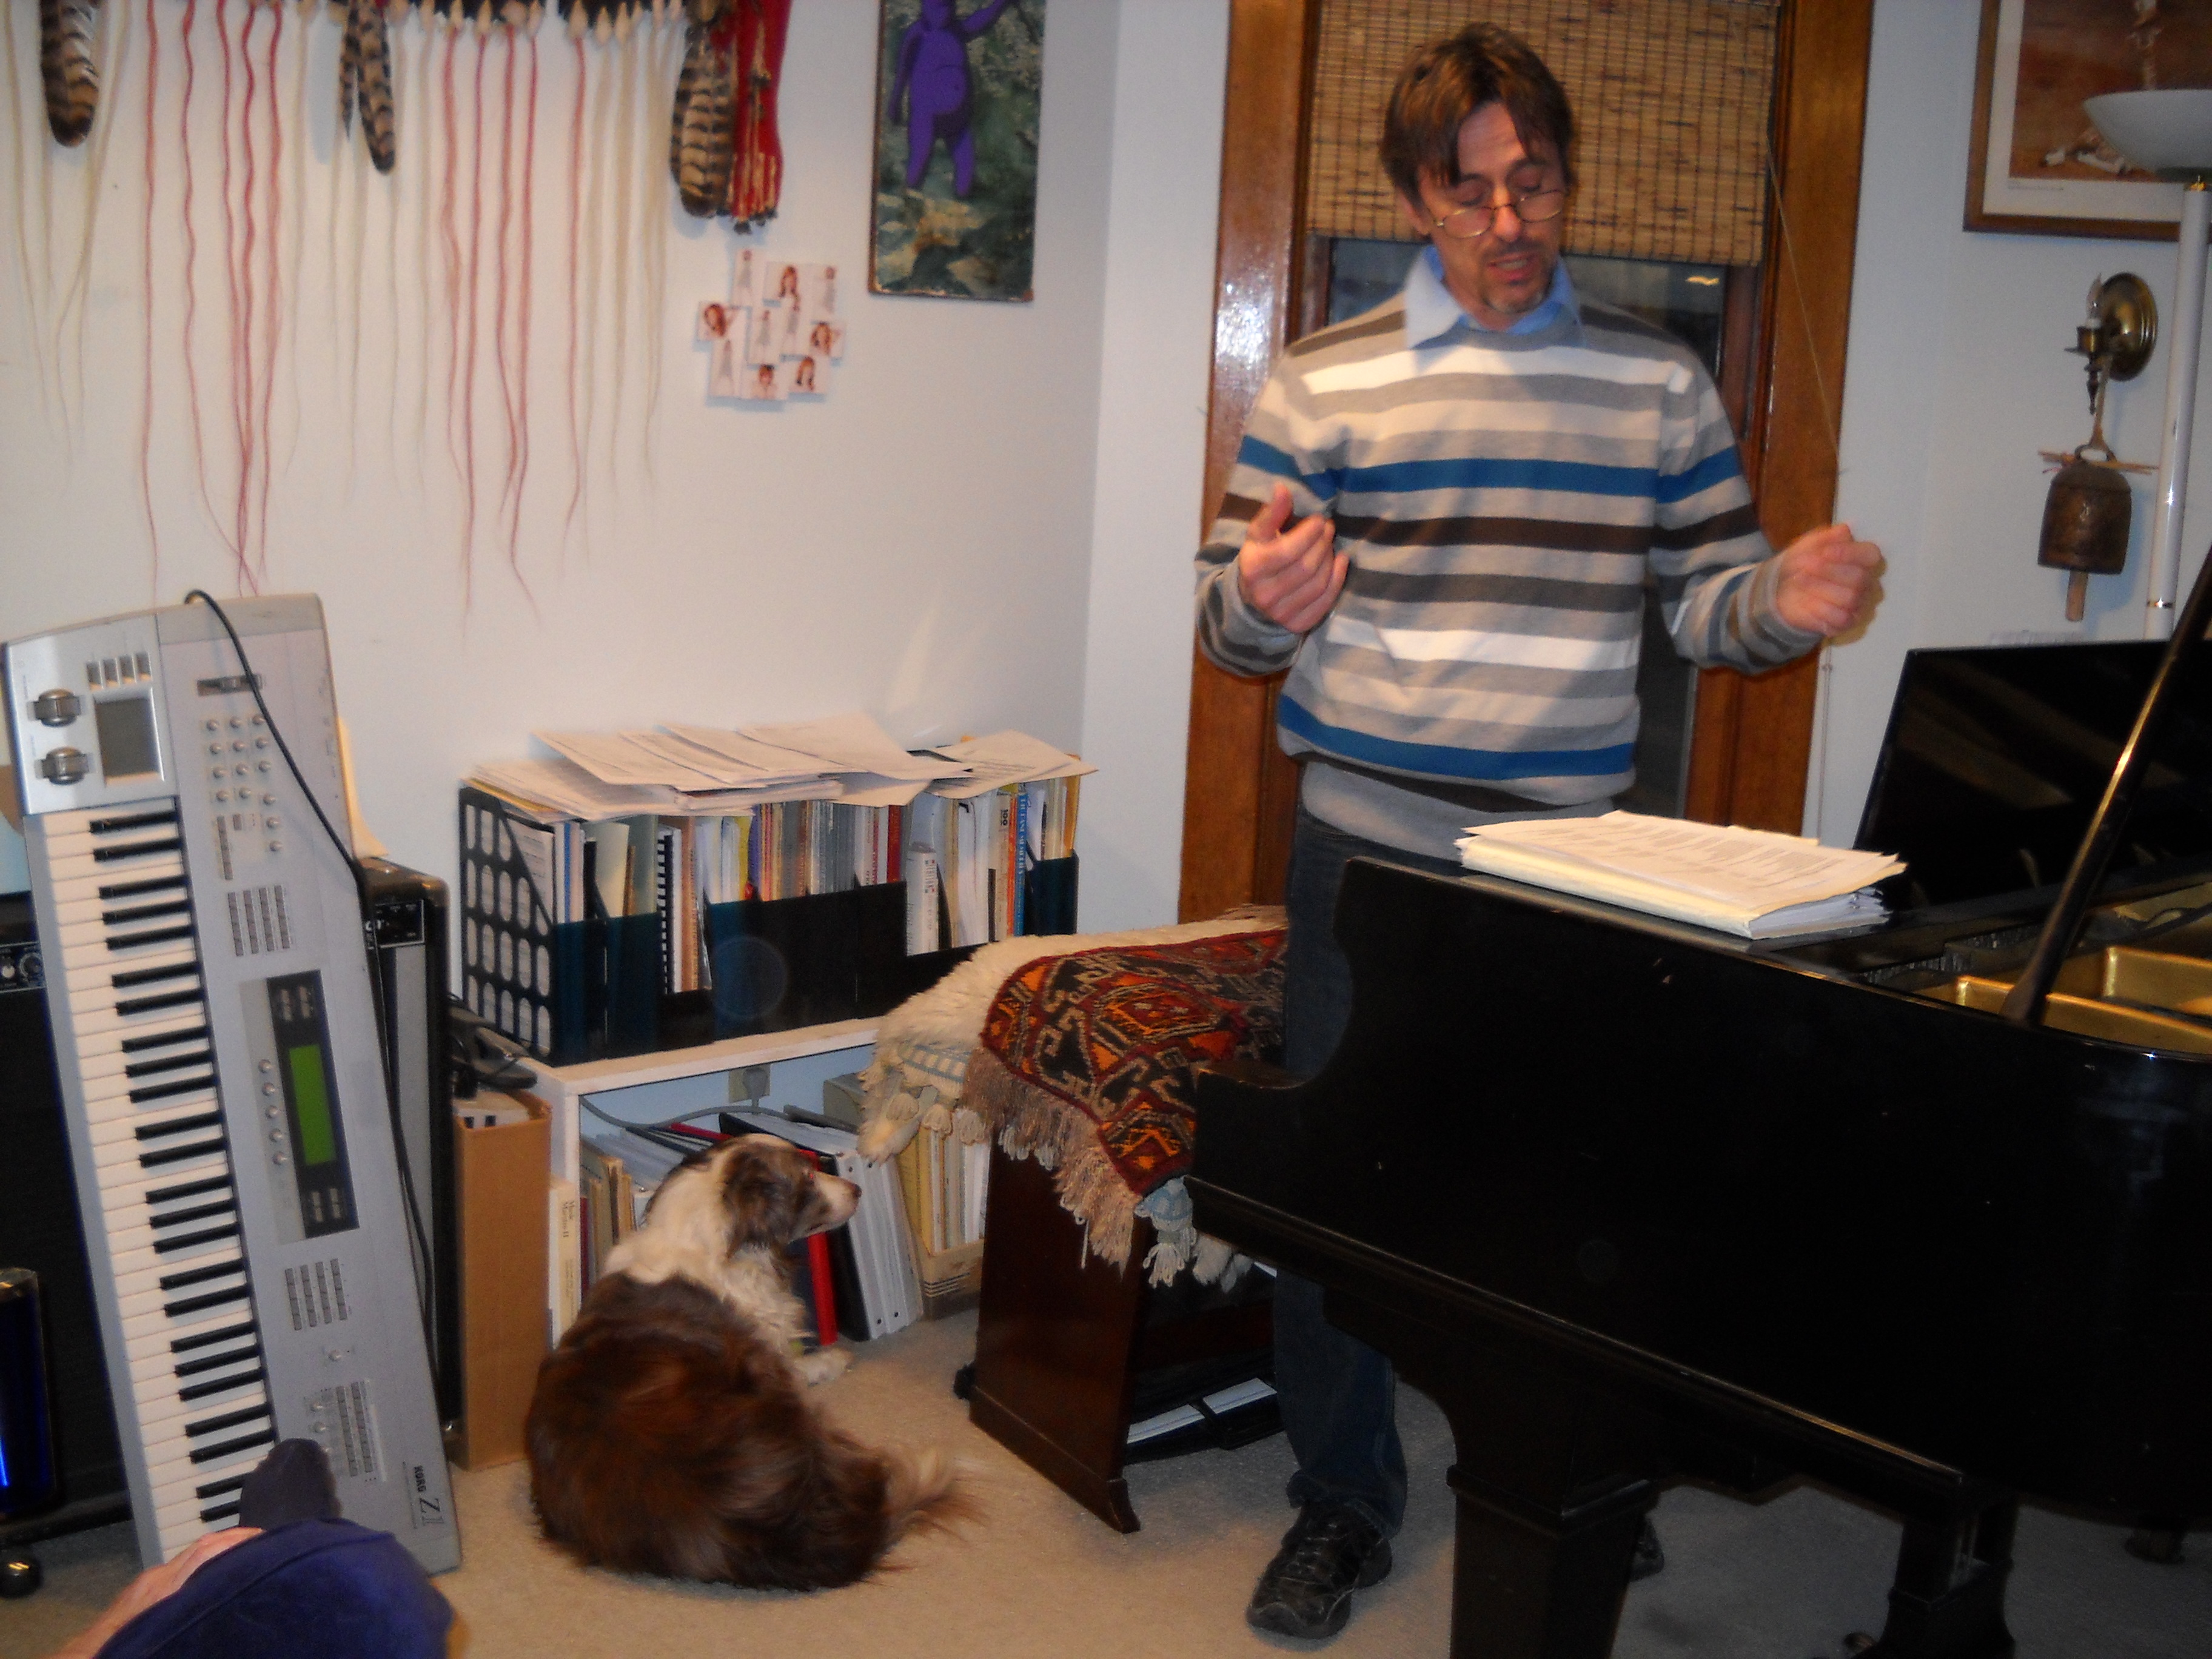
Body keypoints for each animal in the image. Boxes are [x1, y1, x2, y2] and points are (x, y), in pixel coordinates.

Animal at [526, 1134, 966, 1589]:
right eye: (808, 1177)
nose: (858, 1189)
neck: (715, 1240)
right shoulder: (769, 1350)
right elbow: (797, 1364)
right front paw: (832, 1358)